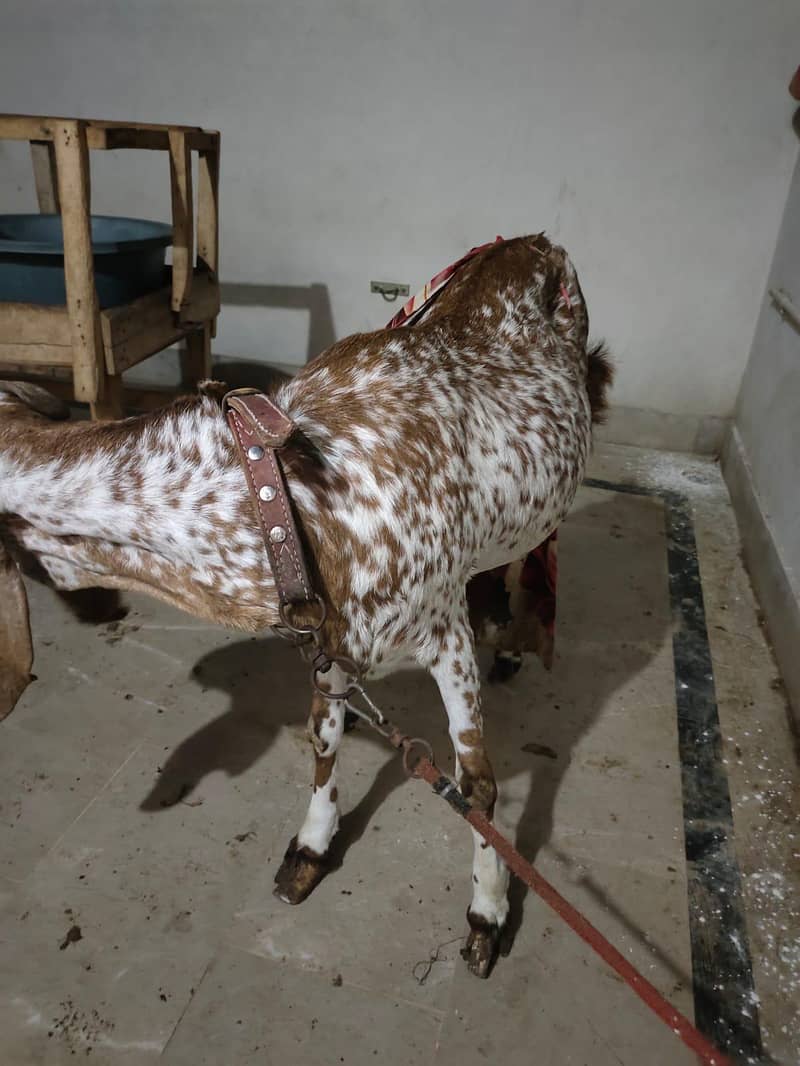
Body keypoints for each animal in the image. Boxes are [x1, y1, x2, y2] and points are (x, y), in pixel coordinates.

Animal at [0, 234, 612, 977]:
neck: (291, 498)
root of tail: (530, 240)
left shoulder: (441, 631)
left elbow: (477, 783)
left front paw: (488, 912)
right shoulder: (329, 633)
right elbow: (322, 735)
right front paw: (312, 847)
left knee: (537, 544)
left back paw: (512, 632)